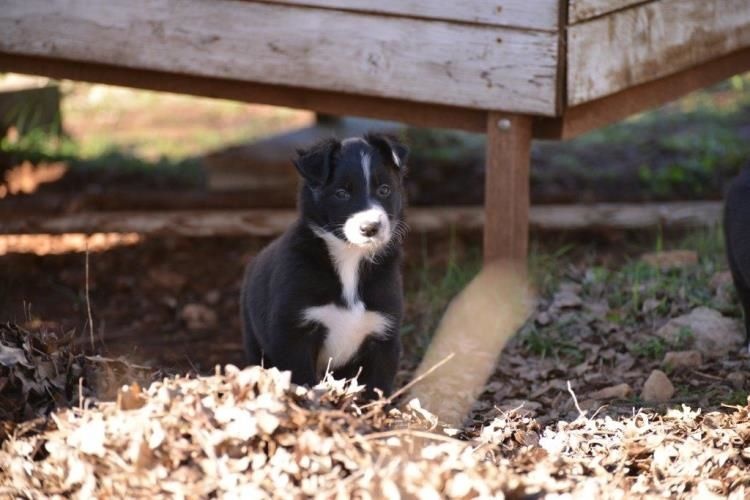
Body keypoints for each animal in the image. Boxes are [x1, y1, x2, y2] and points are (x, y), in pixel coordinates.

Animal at [241, 134, 408, 398]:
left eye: (384, 190)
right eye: (341, 193)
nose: (370, 227)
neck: (350, 259)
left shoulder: (384, 335)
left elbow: (376, 389)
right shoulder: (292, 334)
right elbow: (303, 381)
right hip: (254, 339)